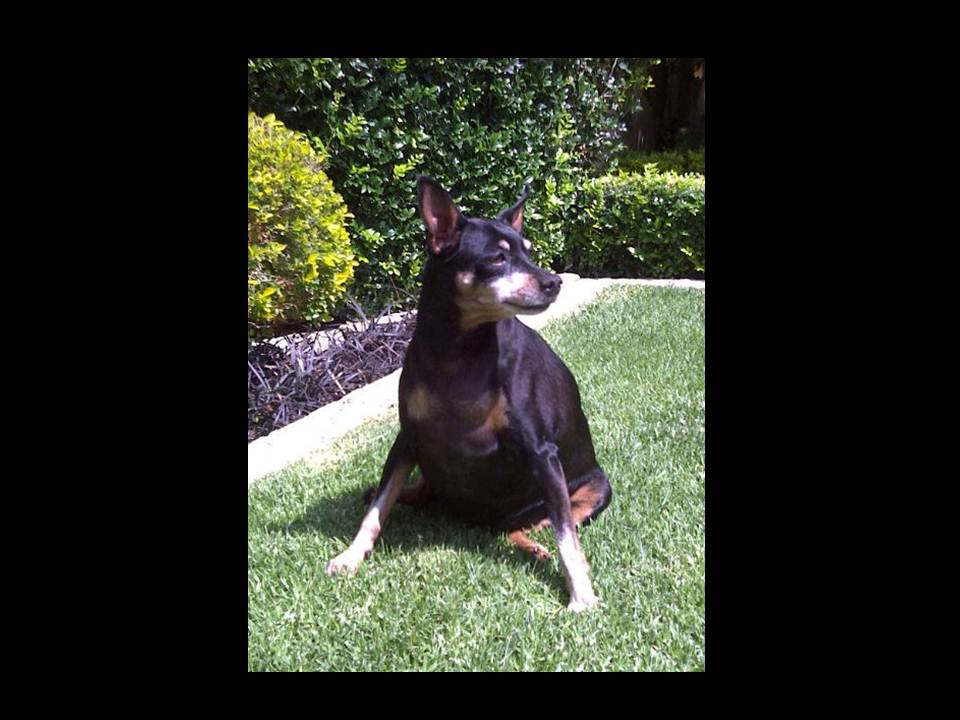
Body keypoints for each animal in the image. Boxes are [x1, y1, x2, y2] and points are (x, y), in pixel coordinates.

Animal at [326, 176, 612, 611]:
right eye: (497, 258)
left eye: (529, 252)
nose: (554, 282)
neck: (460, 351)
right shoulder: (408, 437)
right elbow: (376, 510)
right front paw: (351, 556)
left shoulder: (541, 451)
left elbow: (566, 535)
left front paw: (580, 593)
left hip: (592, 489)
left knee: (537, 523)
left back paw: (536, 548)